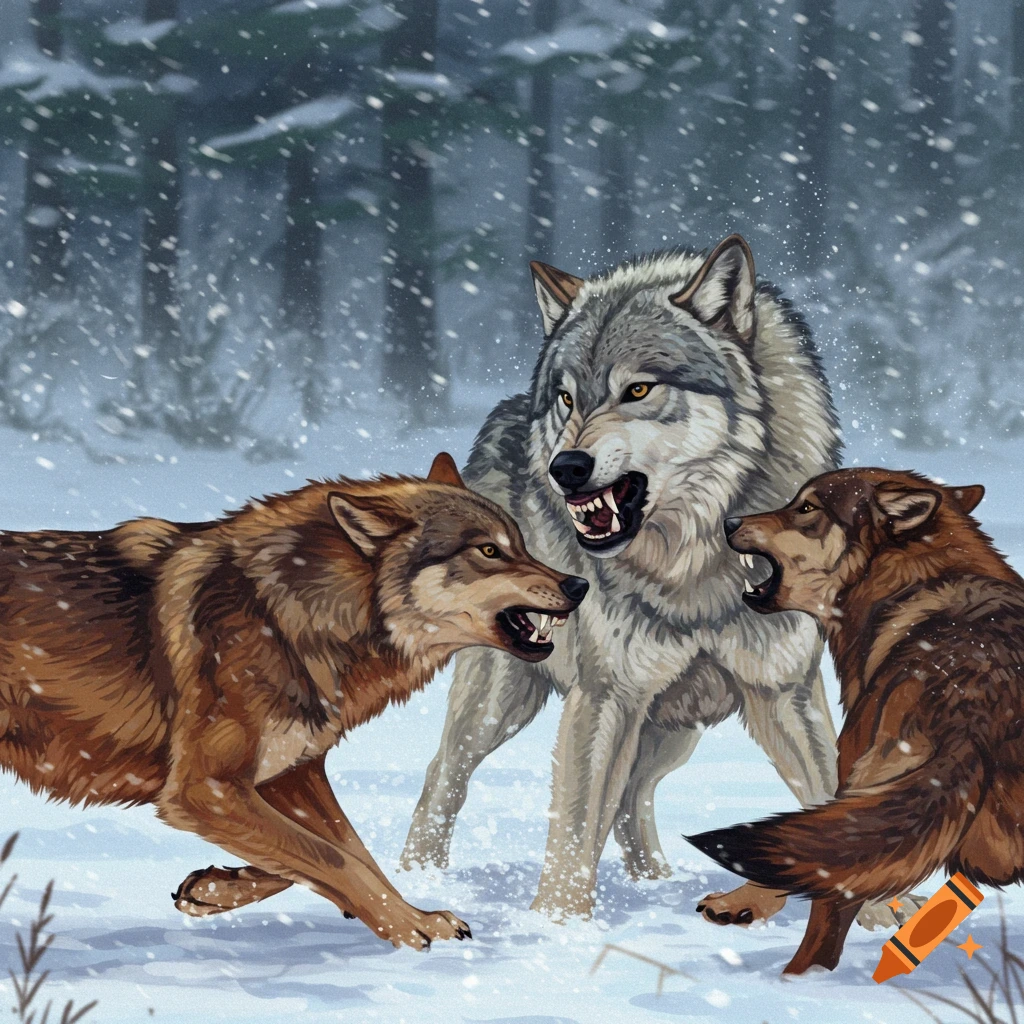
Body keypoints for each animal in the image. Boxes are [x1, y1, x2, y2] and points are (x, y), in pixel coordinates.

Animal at [0, 452, 586, 950]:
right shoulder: (203, 789)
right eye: (488, 551)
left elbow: (347, 853)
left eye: (521, 543)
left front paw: (213, 889)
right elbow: (332, 857)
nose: (578, 584)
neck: (288, 614)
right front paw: (408, 929)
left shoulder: (293, 773)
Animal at [399, 235, 902, 929]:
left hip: (673, 730)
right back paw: (418, 878)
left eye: (638, 388)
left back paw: (656, 885)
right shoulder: (605, 694)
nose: (565, 467)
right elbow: (574, 830)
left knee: (632, 801)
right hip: (503, 702)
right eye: (567, 398)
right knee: (443, 777)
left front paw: (886, 921)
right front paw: (558, 932)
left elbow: (833, 800)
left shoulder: (785, 692)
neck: (694, 572)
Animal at [689, 467, 1024, 973]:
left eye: (806, 507)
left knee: (824, 913)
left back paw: (796, 982)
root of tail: (978, 696)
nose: (728, 521)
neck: (908, 582)